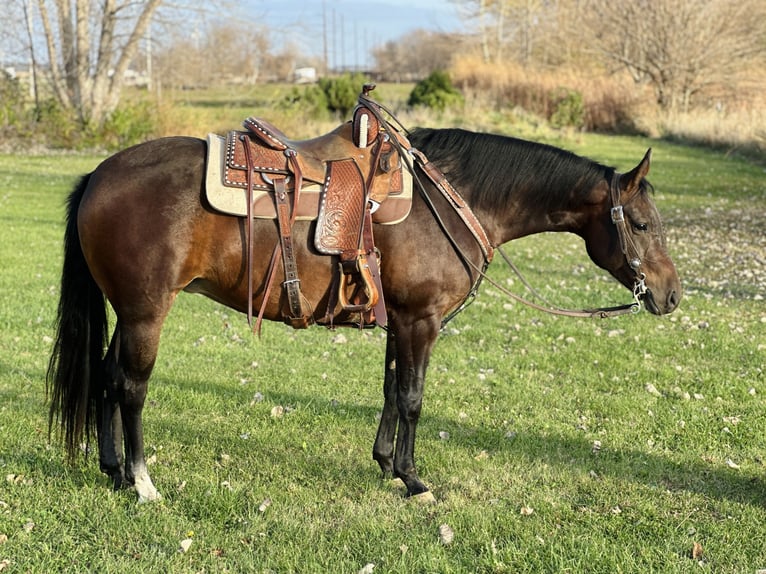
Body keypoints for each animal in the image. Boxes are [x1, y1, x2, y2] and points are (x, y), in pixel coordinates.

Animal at [48, 124, 684, 502]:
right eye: (642, 224)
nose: (671, 295)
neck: (453, 202)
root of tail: (99, 174)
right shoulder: (421, 320)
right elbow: (413, 397)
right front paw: (412, 478)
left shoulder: (399, 319)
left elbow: (390, 389)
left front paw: (383, 464)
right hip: (146, 313)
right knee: (131, 387)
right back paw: (142, 482)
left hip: (128, 313)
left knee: (107, 377)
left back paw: (112, 470)